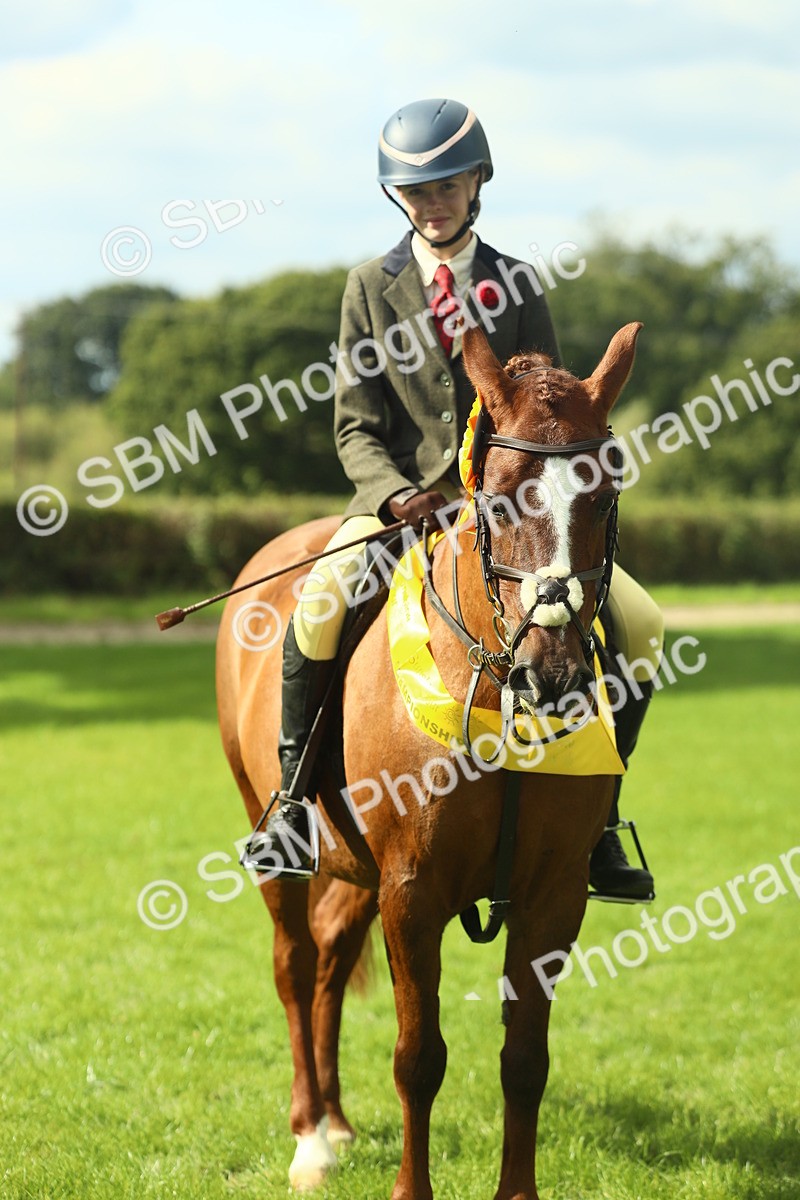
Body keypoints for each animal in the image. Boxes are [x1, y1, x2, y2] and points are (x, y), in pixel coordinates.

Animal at [215, 320, 643, 1200]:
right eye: (500, 495)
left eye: (604, 495)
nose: (551, 679)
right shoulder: (412, 891)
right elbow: (419, 1058)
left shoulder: (553, 894)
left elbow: (526, 1059)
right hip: (279, 835)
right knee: (293, 962)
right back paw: (310, 1135)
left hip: (358, 870)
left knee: (330, 959)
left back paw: (337, 1121)